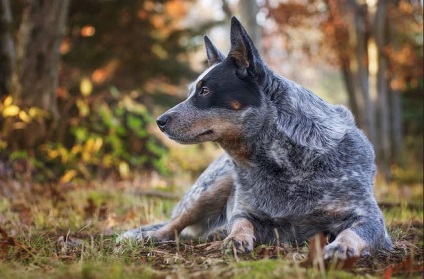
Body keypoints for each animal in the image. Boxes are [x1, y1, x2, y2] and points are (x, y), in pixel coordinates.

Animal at [117, 15, 392, 260]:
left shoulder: (370, 218)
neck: (285, 161)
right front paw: (234, 238)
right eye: (191, 91)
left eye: (205, 90)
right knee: (173, 225)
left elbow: (354, 231)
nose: (160, 121)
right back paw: (151, 236)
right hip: (211, 187)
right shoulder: (248, 212)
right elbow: (241, 222)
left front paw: (341, 246)